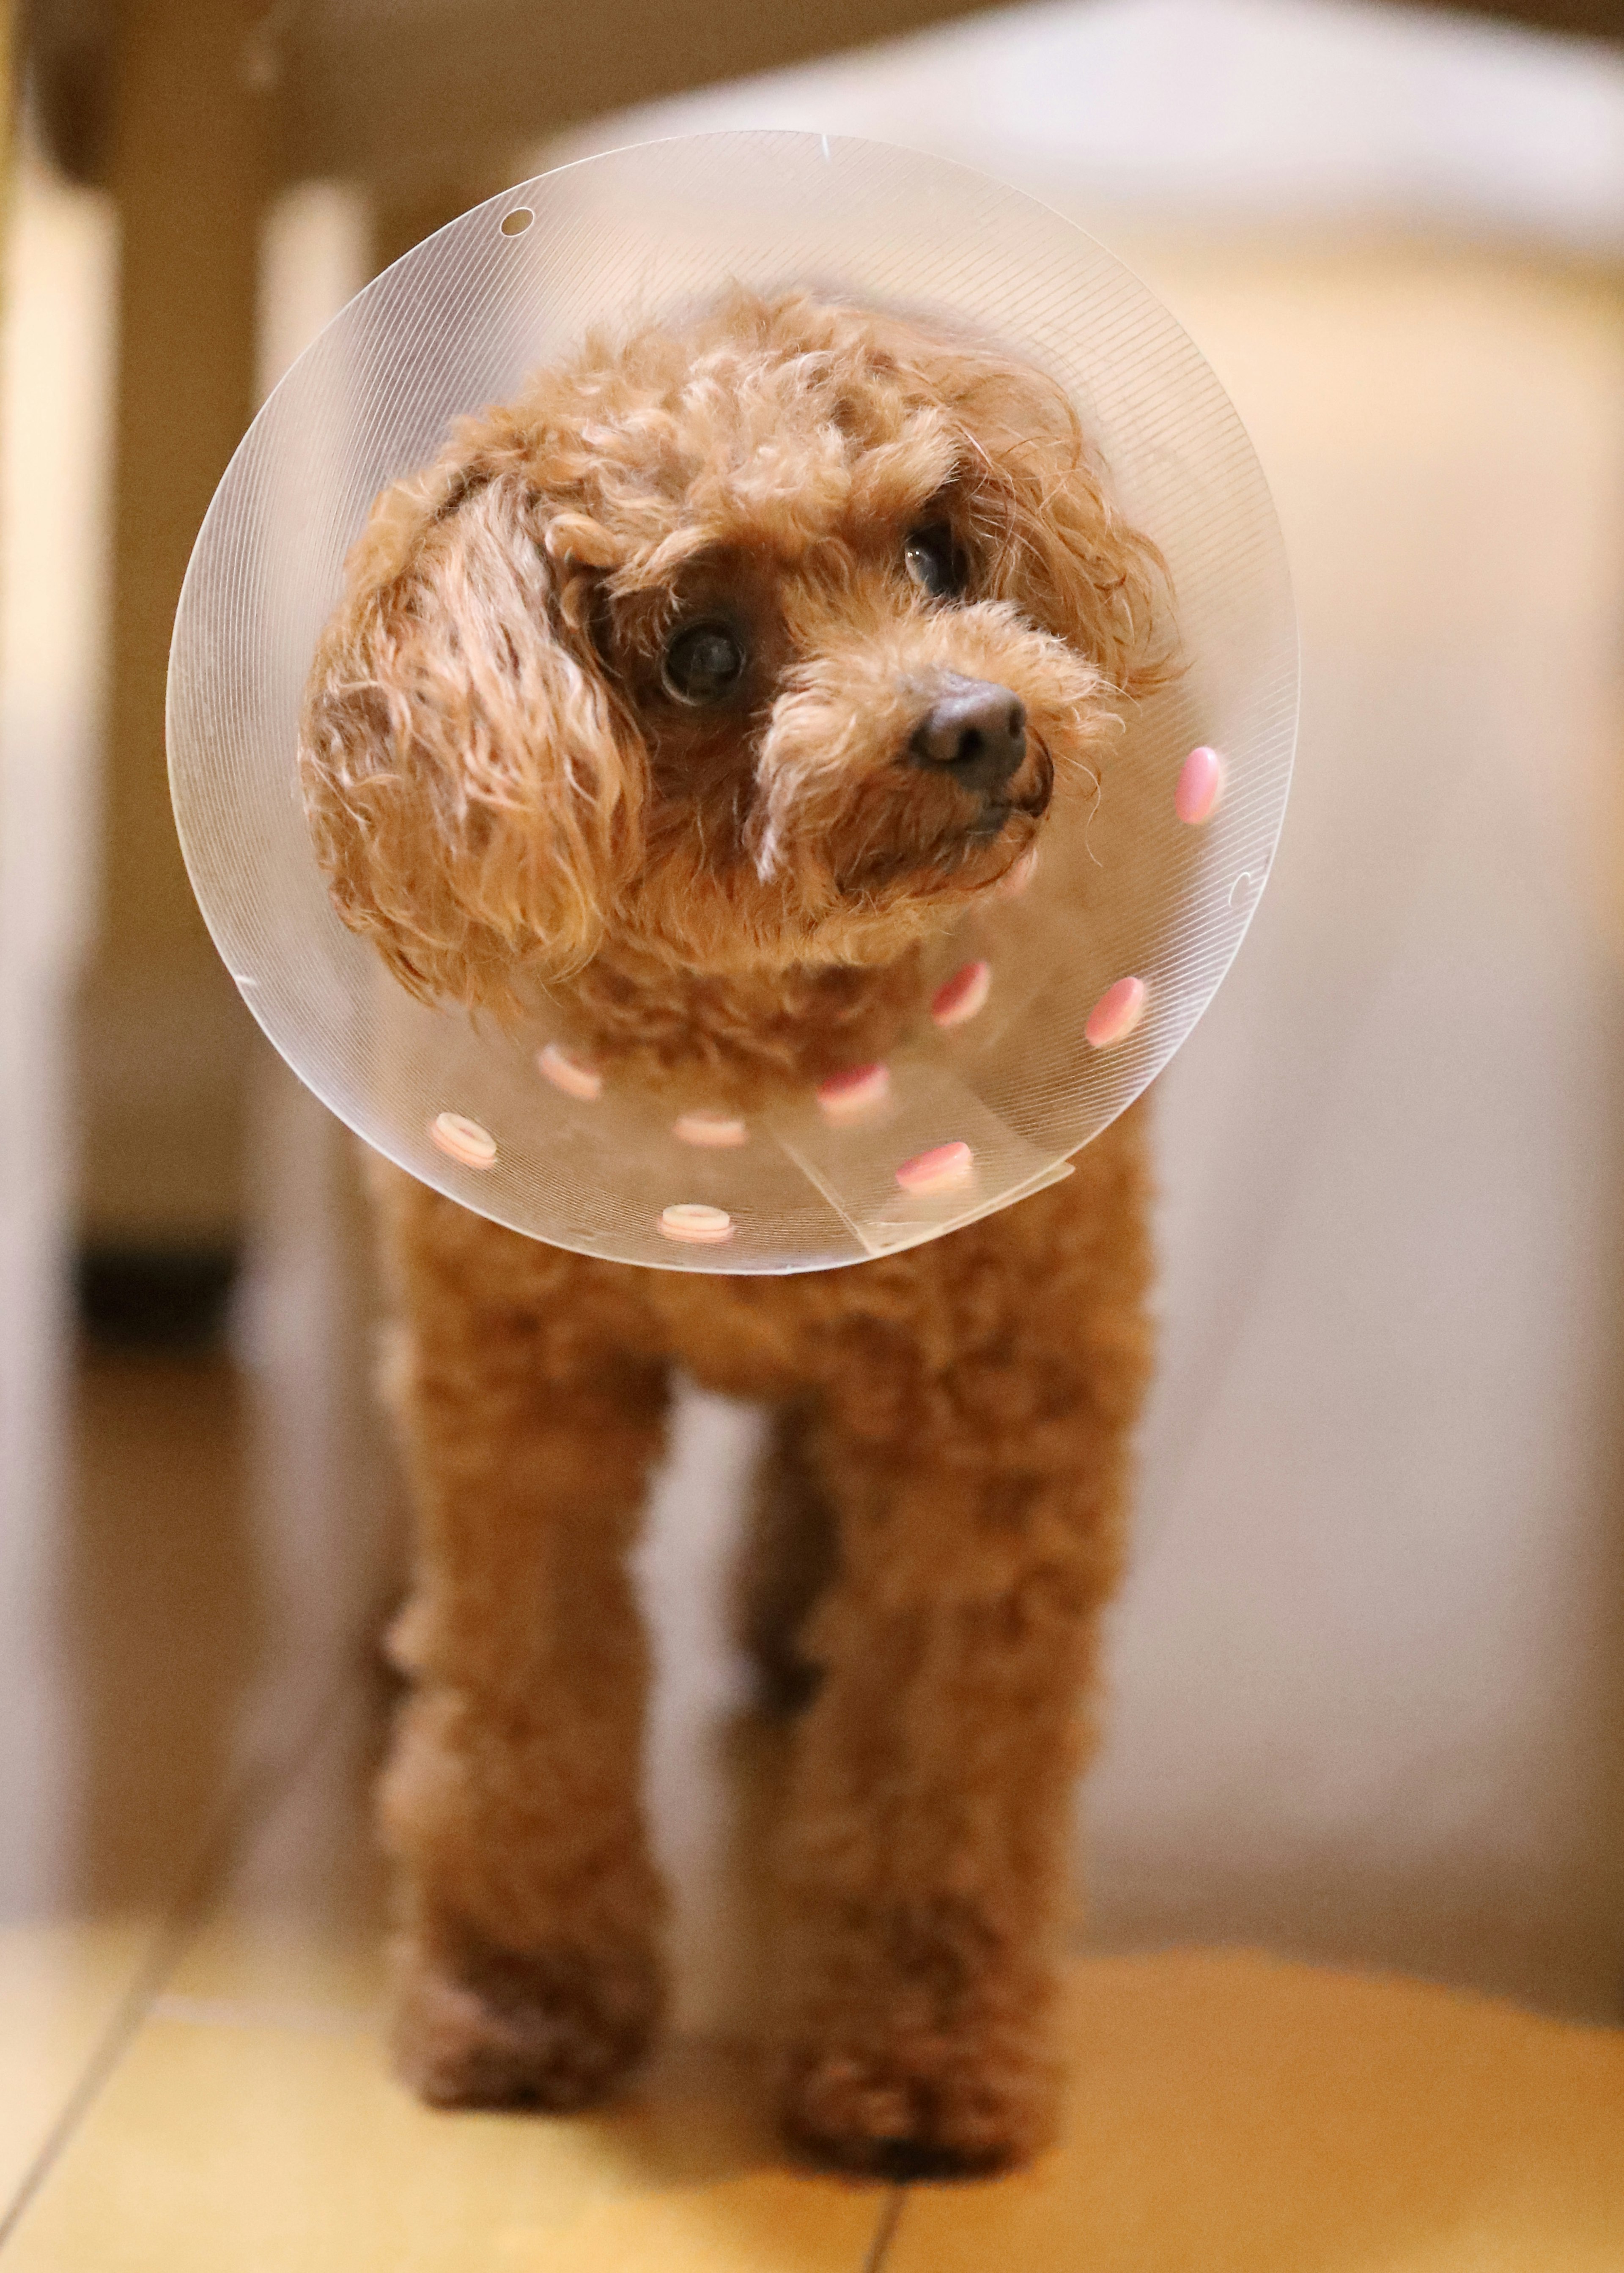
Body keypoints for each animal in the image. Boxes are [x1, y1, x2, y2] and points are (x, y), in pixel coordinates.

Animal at [300, 288, 1164, 2182]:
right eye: (699, 654)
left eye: (935, 550)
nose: (977, 722)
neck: (749, 1065)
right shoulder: (520, 1399)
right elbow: (525, 1697)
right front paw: (519, 1998)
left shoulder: (997, 1419)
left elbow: (943, 1752)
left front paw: (920, 2063)